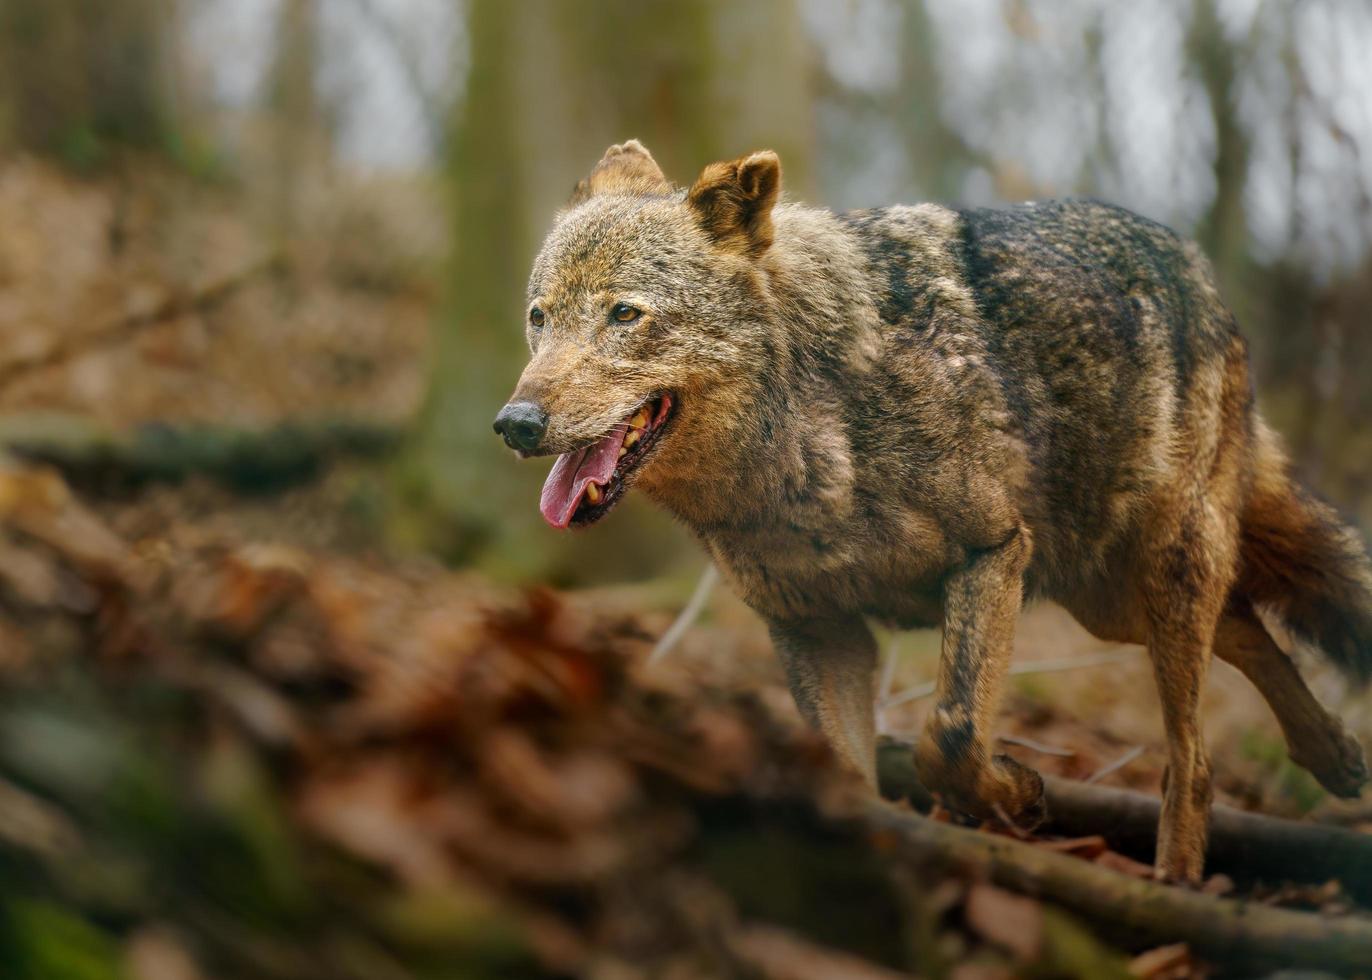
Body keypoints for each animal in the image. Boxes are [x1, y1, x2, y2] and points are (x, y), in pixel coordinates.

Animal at [496, 137, 1372, 878]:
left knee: (1194, 759)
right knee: (1248, 625)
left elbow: (948, 738)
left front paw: (1018, 795)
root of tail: (1189, 258)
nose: (516, 424)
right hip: (1104, 597)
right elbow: (849, 776)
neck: (815, 435)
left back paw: (1181, 880)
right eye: (538, 318)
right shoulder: (815, 627)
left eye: (625, 314)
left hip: (1154, 572)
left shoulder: (991, 554)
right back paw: (1334, 754)